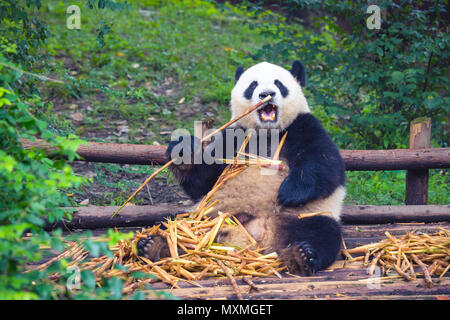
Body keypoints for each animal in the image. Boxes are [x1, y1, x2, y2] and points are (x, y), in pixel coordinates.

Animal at [139, 62, 346, 276]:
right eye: (253, 85)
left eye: (278, 84)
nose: (266, 94)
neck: (267, 133)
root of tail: (258, 237)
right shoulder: (232, 137)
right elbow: (205, 181)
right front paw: (184, 150)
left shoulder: (303, 126)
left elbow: (325, 166)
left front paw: (289, 193)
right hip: (210, 214)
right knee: (173, 223)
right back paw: (154, 245)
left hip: (305, 215)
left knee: (323, 233)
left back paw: (303, 256)